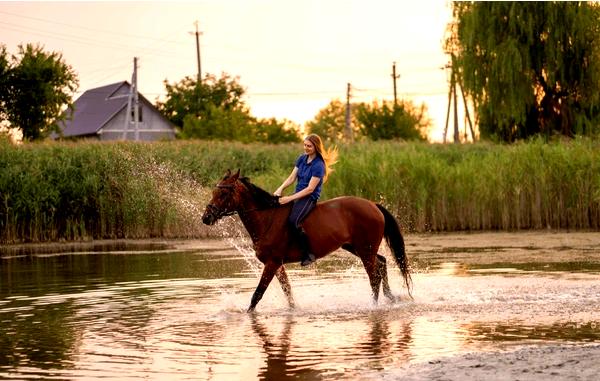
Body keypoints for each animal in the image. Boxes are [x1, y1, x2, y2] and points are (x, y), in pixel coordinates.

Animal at [202, 170, 412, 312]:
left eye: (223, 194)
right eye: (214, 192)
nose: (206, 218)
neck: (266, 218)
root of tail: (373, 205)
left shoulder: (272, 263)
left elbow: (258, 293)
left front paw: (248, 314)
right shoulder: (277, 264)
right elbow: (287, 291)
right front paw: (293, 310)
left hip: (365, 250)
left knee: (374, 276)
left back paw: (373, 306)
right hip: (357, 248)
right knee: (382, 263)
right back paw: (390, 298)